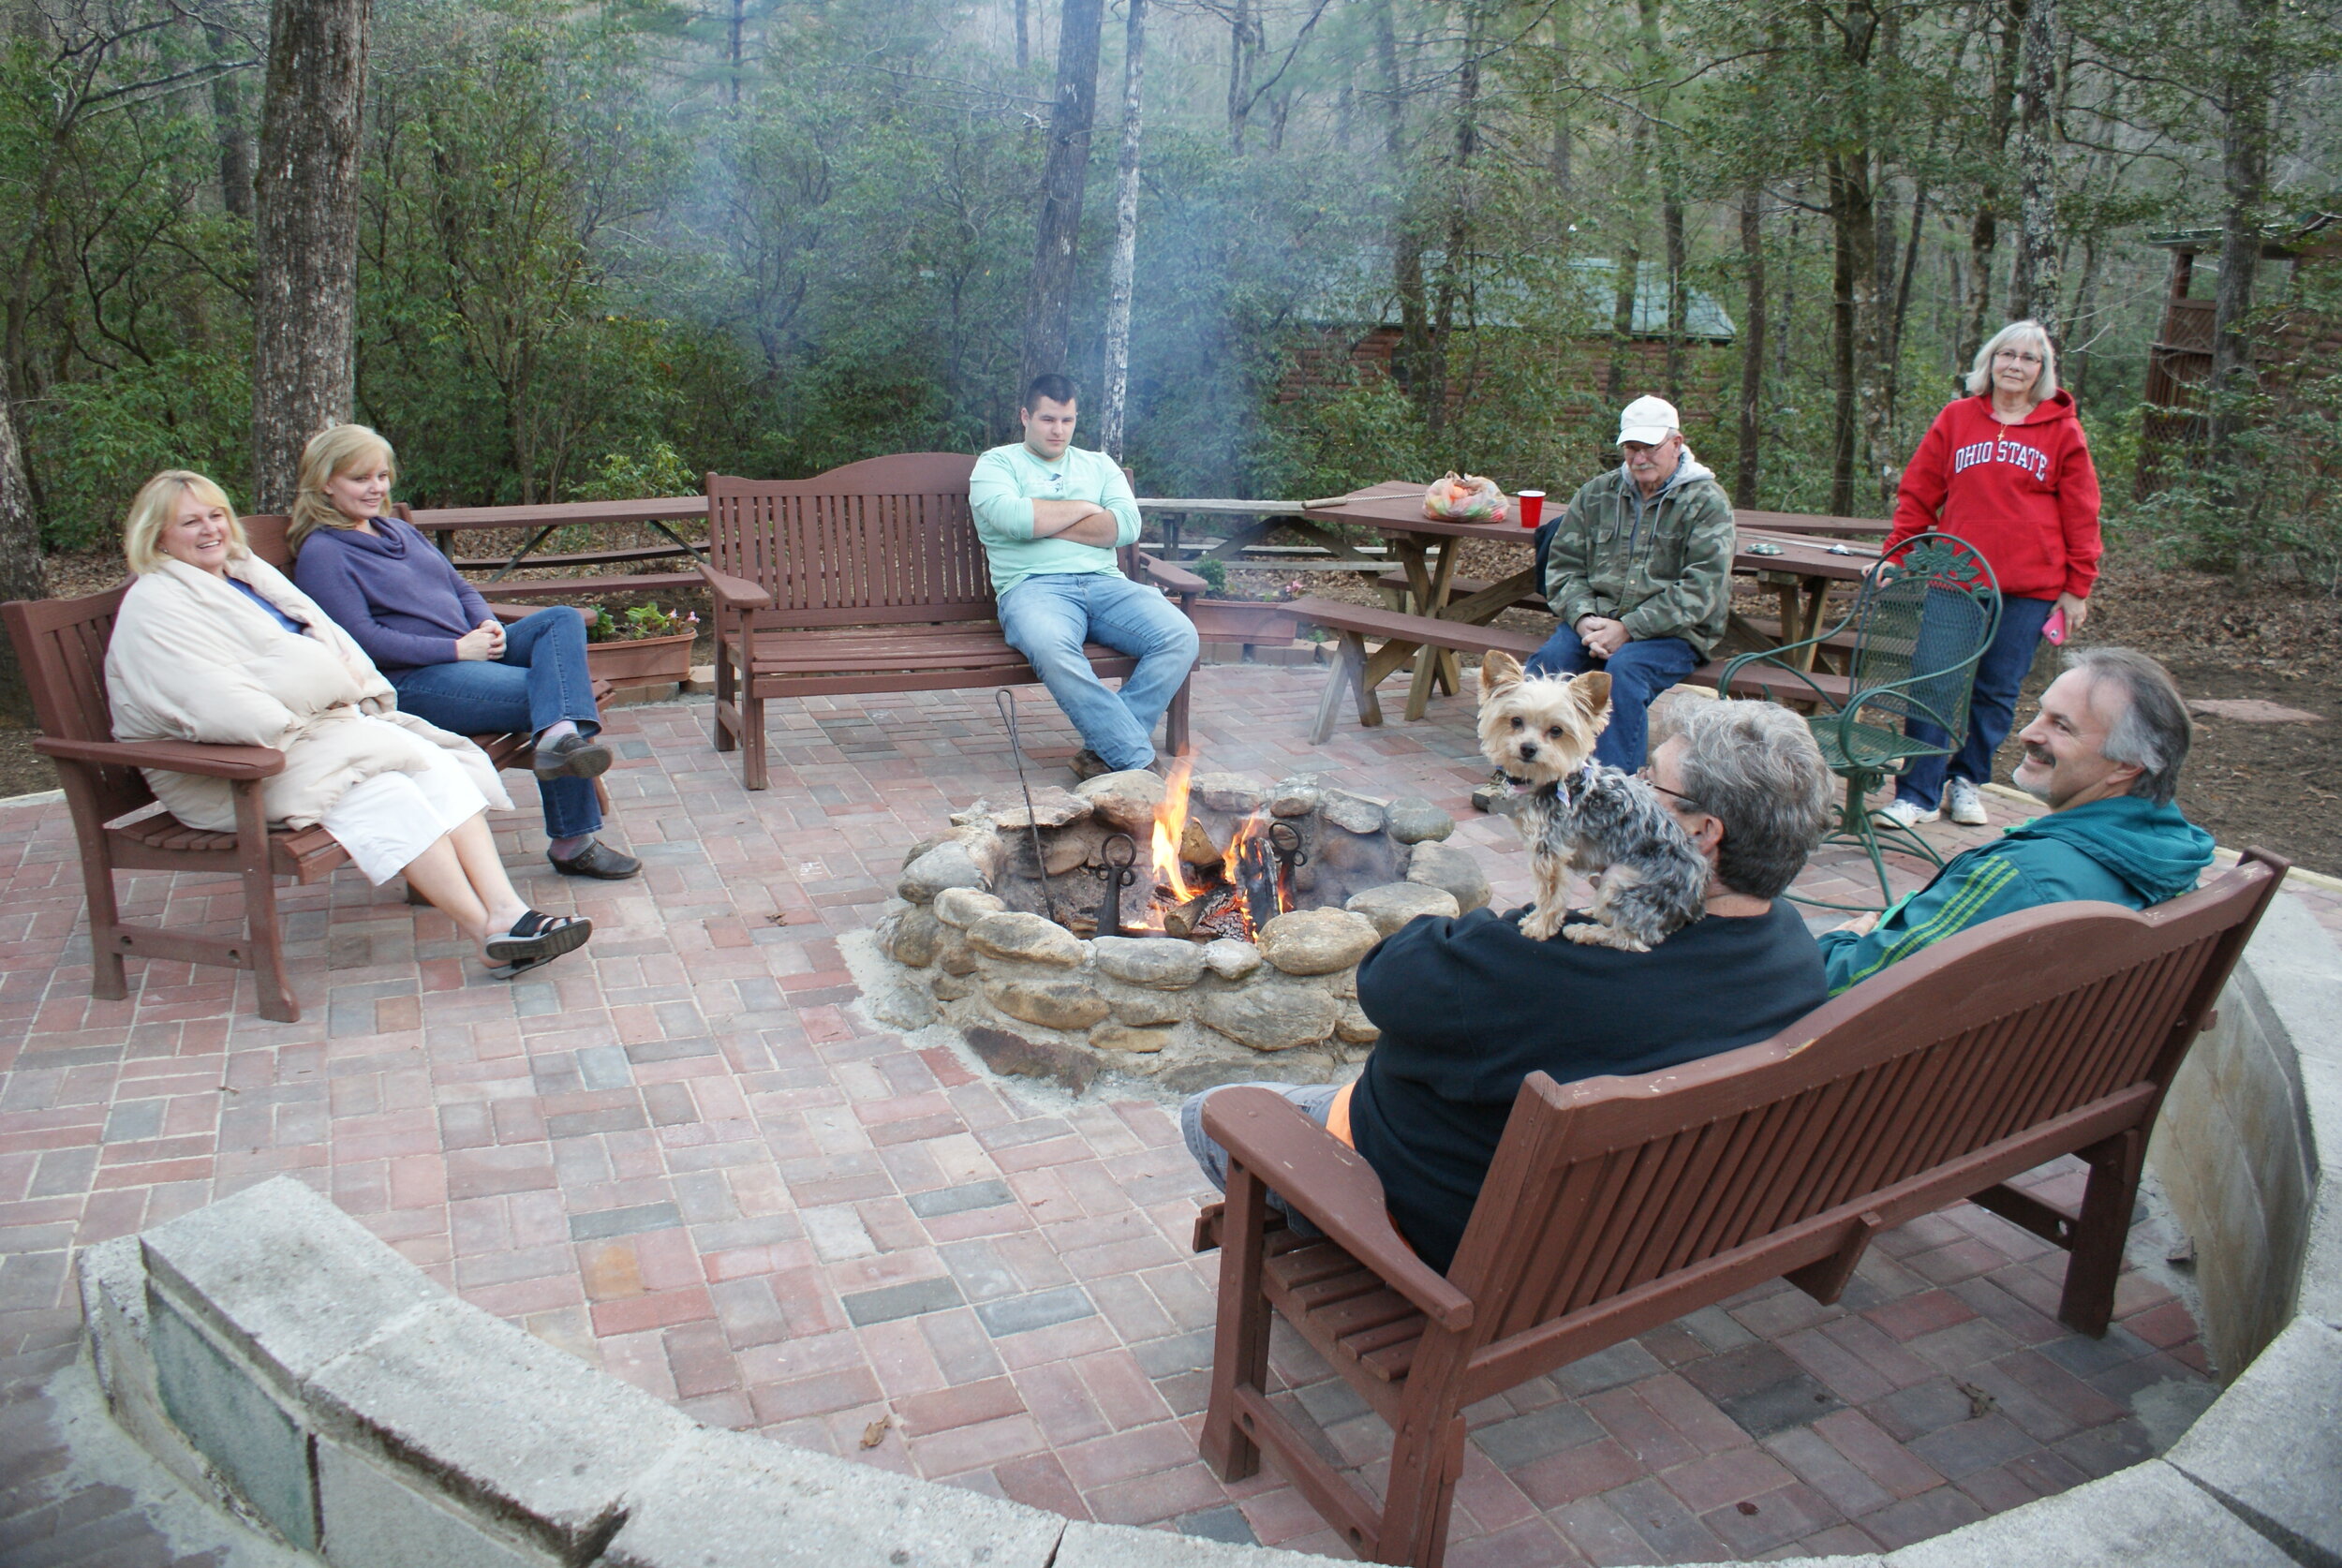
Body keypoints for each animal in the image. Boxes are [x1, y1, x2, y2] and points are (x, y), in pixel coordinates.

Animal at [1480, 655, 1705, 950]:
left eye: (1556, 731)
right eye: (1515, 721)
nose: (1527, 748)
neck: (1552, 780)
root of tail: (1694, 902)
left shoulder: (1551, 851)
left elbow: (1550, 895)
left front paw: (1541, 927)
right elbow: (1543, 892)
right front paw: (1536, 919)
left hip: (1621, 877)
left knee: (1631, 939)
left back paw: (1586, 931)